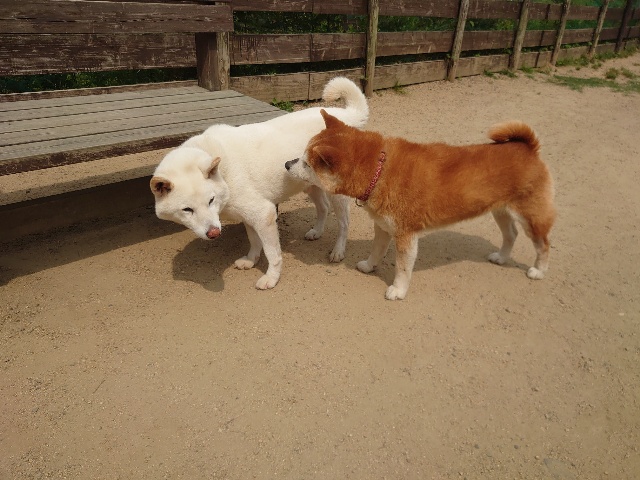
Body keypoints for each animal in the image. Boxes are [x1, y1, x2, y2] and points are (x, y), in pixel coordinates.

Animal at [151, 78, 369, 290]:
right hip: (309, 184)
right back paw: (317, 232)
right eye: (187, 209)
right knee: (323, 207)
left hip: (336, 194)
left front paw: (271, 278)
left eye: (211, 200)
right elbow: (254, 242)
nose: (214, 233)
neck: (223, 172)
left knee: (344, 223)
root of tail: (344, 116)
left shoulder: (264, 215)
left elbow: (272, 254)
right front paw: (251, 260)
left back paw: (338, 251)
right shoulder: (249, 216)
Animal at [285, 110, 556, 300]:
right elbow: (376, 251)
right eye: (302, 154)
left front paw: (398, 290)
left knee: (543, 245)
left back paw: (539, 271)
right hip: (500, 211)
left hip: (531, 217)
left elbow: (403, 268)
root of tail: (528, 148)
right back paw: (501, 257)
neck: (380, 170)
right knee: (511, 235)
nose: (287, 164)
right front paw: (369, 266)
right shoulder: (383, 227)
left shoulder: (406, 235)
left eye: (307, 163)